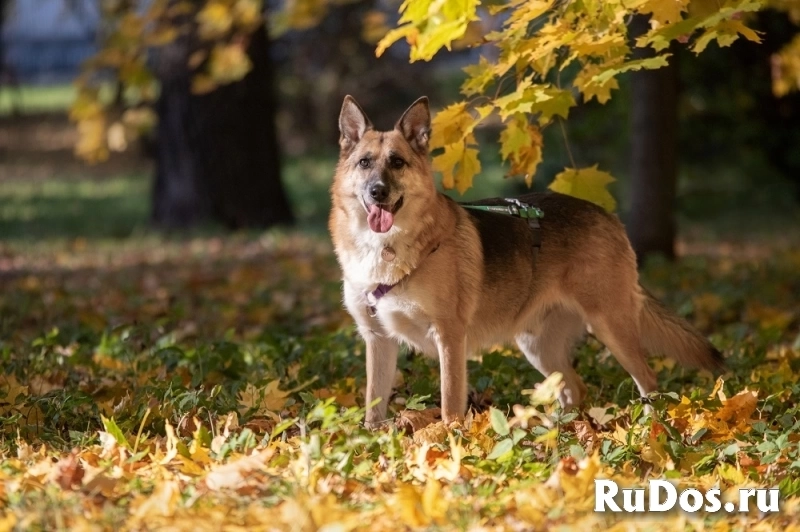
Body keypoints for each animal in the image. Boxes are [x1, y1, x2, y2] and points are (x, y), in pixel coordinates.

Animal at [328, 96, 720, 428]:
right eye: (364, 163)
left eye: (397, 162)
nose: (378, 191)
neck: (385, 248)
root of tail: (607, 215)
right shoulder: (378, 340)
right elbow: (373, 407)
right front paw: (373, 446)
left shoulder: (449, 337)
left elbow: (450, 404)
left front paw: (449, 444)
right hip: (537, 346)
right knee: (574, 389)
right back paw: (561, 433)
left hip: (611, 326)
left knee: (648, 379)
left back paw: (650, 429)